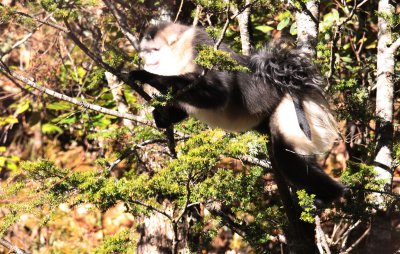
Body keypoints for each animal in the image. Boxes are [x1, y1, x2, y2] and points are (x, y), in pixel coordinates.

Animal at [129, 22, 344, 203]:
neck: (177, 54)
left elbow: (219, 93)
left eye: (154, 50)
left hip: (291, 106)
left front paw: (143, 75)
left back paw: (334, 194)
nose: (147, 60)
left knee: (286, 154)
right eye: (145, 51)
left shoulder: (200, 46)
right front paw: (161, 116)